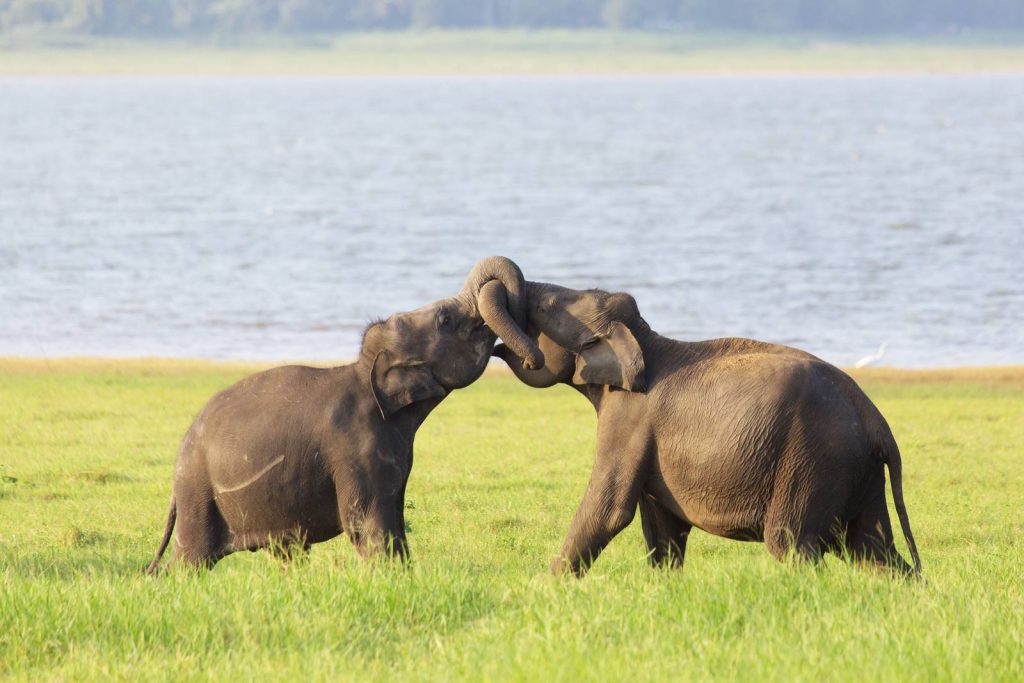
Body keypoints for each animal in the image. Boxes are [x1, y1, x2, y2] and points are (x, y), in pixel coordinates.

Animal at [145, 256, 543, 573]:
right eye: (445, 318)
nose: (527, 357)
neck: (365, 371)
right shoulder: (355, 449)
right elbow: (366, 524)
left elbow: (394, 518)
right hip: (200, 494)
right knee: (190, 560)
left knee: (287, 551)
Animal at [493, 282, 921, 578]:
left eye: (545, 307)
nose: (497, 345)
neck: (645, 339)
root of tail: (877, 422)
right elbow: (663, 530)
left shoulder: (628, 418)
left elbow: (609, 510)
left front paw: (543, 593)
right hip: (858, 470)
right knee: (873, 550)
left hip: (814, 459)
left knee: (791, 545)